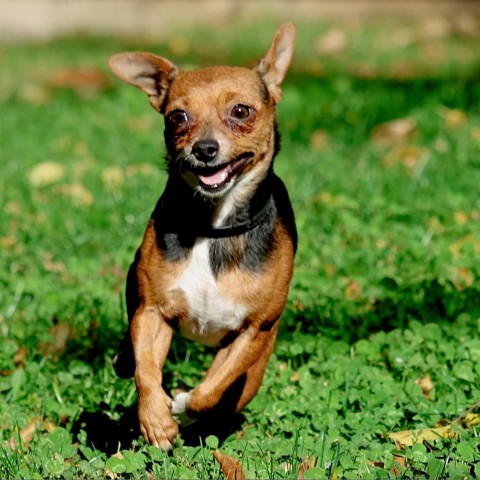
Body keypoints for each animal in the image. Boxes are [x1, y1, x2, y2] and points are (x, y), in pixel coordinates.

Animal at [109, 22, 296, 450]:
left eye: (241, 111)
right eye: (178, 117)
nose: (205, 148)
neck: (214, 227)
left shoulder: (253, 332)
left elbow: (211, 392)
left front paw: (183, 406)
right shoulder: (153, 311)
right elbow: (146, 371)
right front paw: (156, 420)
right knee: (133, 354)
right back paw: (125, 359)